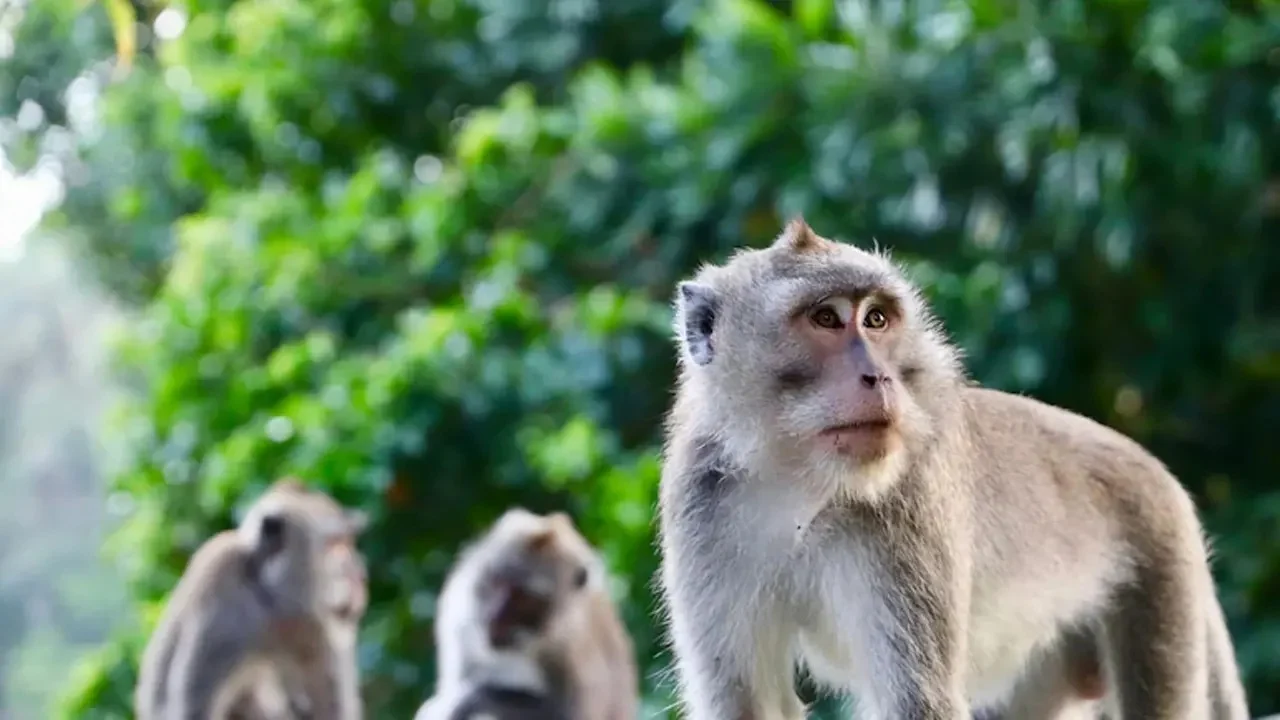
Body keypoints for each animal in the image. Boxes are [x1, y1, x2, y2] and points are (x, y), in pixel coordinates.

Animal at [135, 478, 368, 720]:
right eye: (336, 545)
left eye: (349, 542)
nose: (361, 575)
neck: (272, 606)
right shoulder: (221, 590)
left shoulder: (320, 631)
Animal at [416, 508, 638, 720]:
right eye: (498, 582)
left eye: (527, 600)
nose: (497, 618)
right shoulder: (458, 618)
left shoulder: (569, 649)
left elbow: (569, 715)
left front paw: (467, 700)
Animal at [656, 218, 1250, 720]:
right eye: (825, 318)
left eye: (876, 319)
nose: (879, 376)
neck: (800, 482)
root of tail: (1156, 473)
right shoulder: (700, 505)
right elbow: (741, 699)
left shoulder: (907, 503)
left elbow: (918, 701)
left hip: (1160, 570)